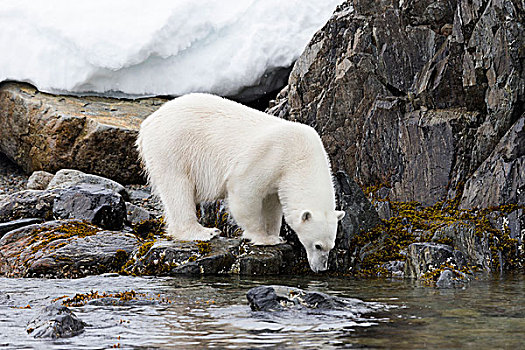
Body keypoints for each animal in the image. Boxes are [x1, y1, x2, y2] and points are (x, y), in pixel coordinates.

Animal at [137, 94, 346, 272]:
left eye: (331, 246)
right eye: (317, 245)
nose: (321, 268)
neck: (300, 156)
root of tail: (148, 124)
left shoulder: (279, 177)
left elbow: (272, 203)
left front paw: (274, 235)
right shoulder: (270, 156)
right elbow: (245, 192)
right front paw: (263, 238)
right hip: (174, 148)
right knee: (178, 189)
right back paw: (204, 232)